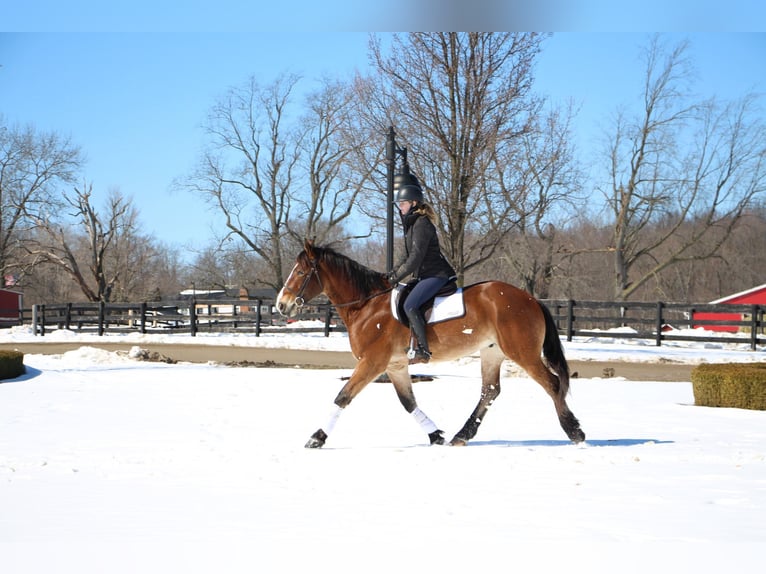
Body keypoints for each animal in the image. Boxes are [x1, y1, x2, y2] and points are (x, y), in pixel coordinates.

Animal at [280, 242, 584, 450]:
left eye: (301, 271)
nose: (282, 305)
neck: (367, 305)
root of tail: (530, 299)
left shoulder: (372, 362)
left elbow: (343, 397)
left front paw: (317, 437)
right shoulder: (395, 366)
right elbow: (408, 403)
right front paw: (436, 435)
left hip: (522, 353)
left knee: (552, 384)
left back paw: (574, 432)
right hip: (492, 352)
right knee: (489, 391)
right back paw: (462, 435)